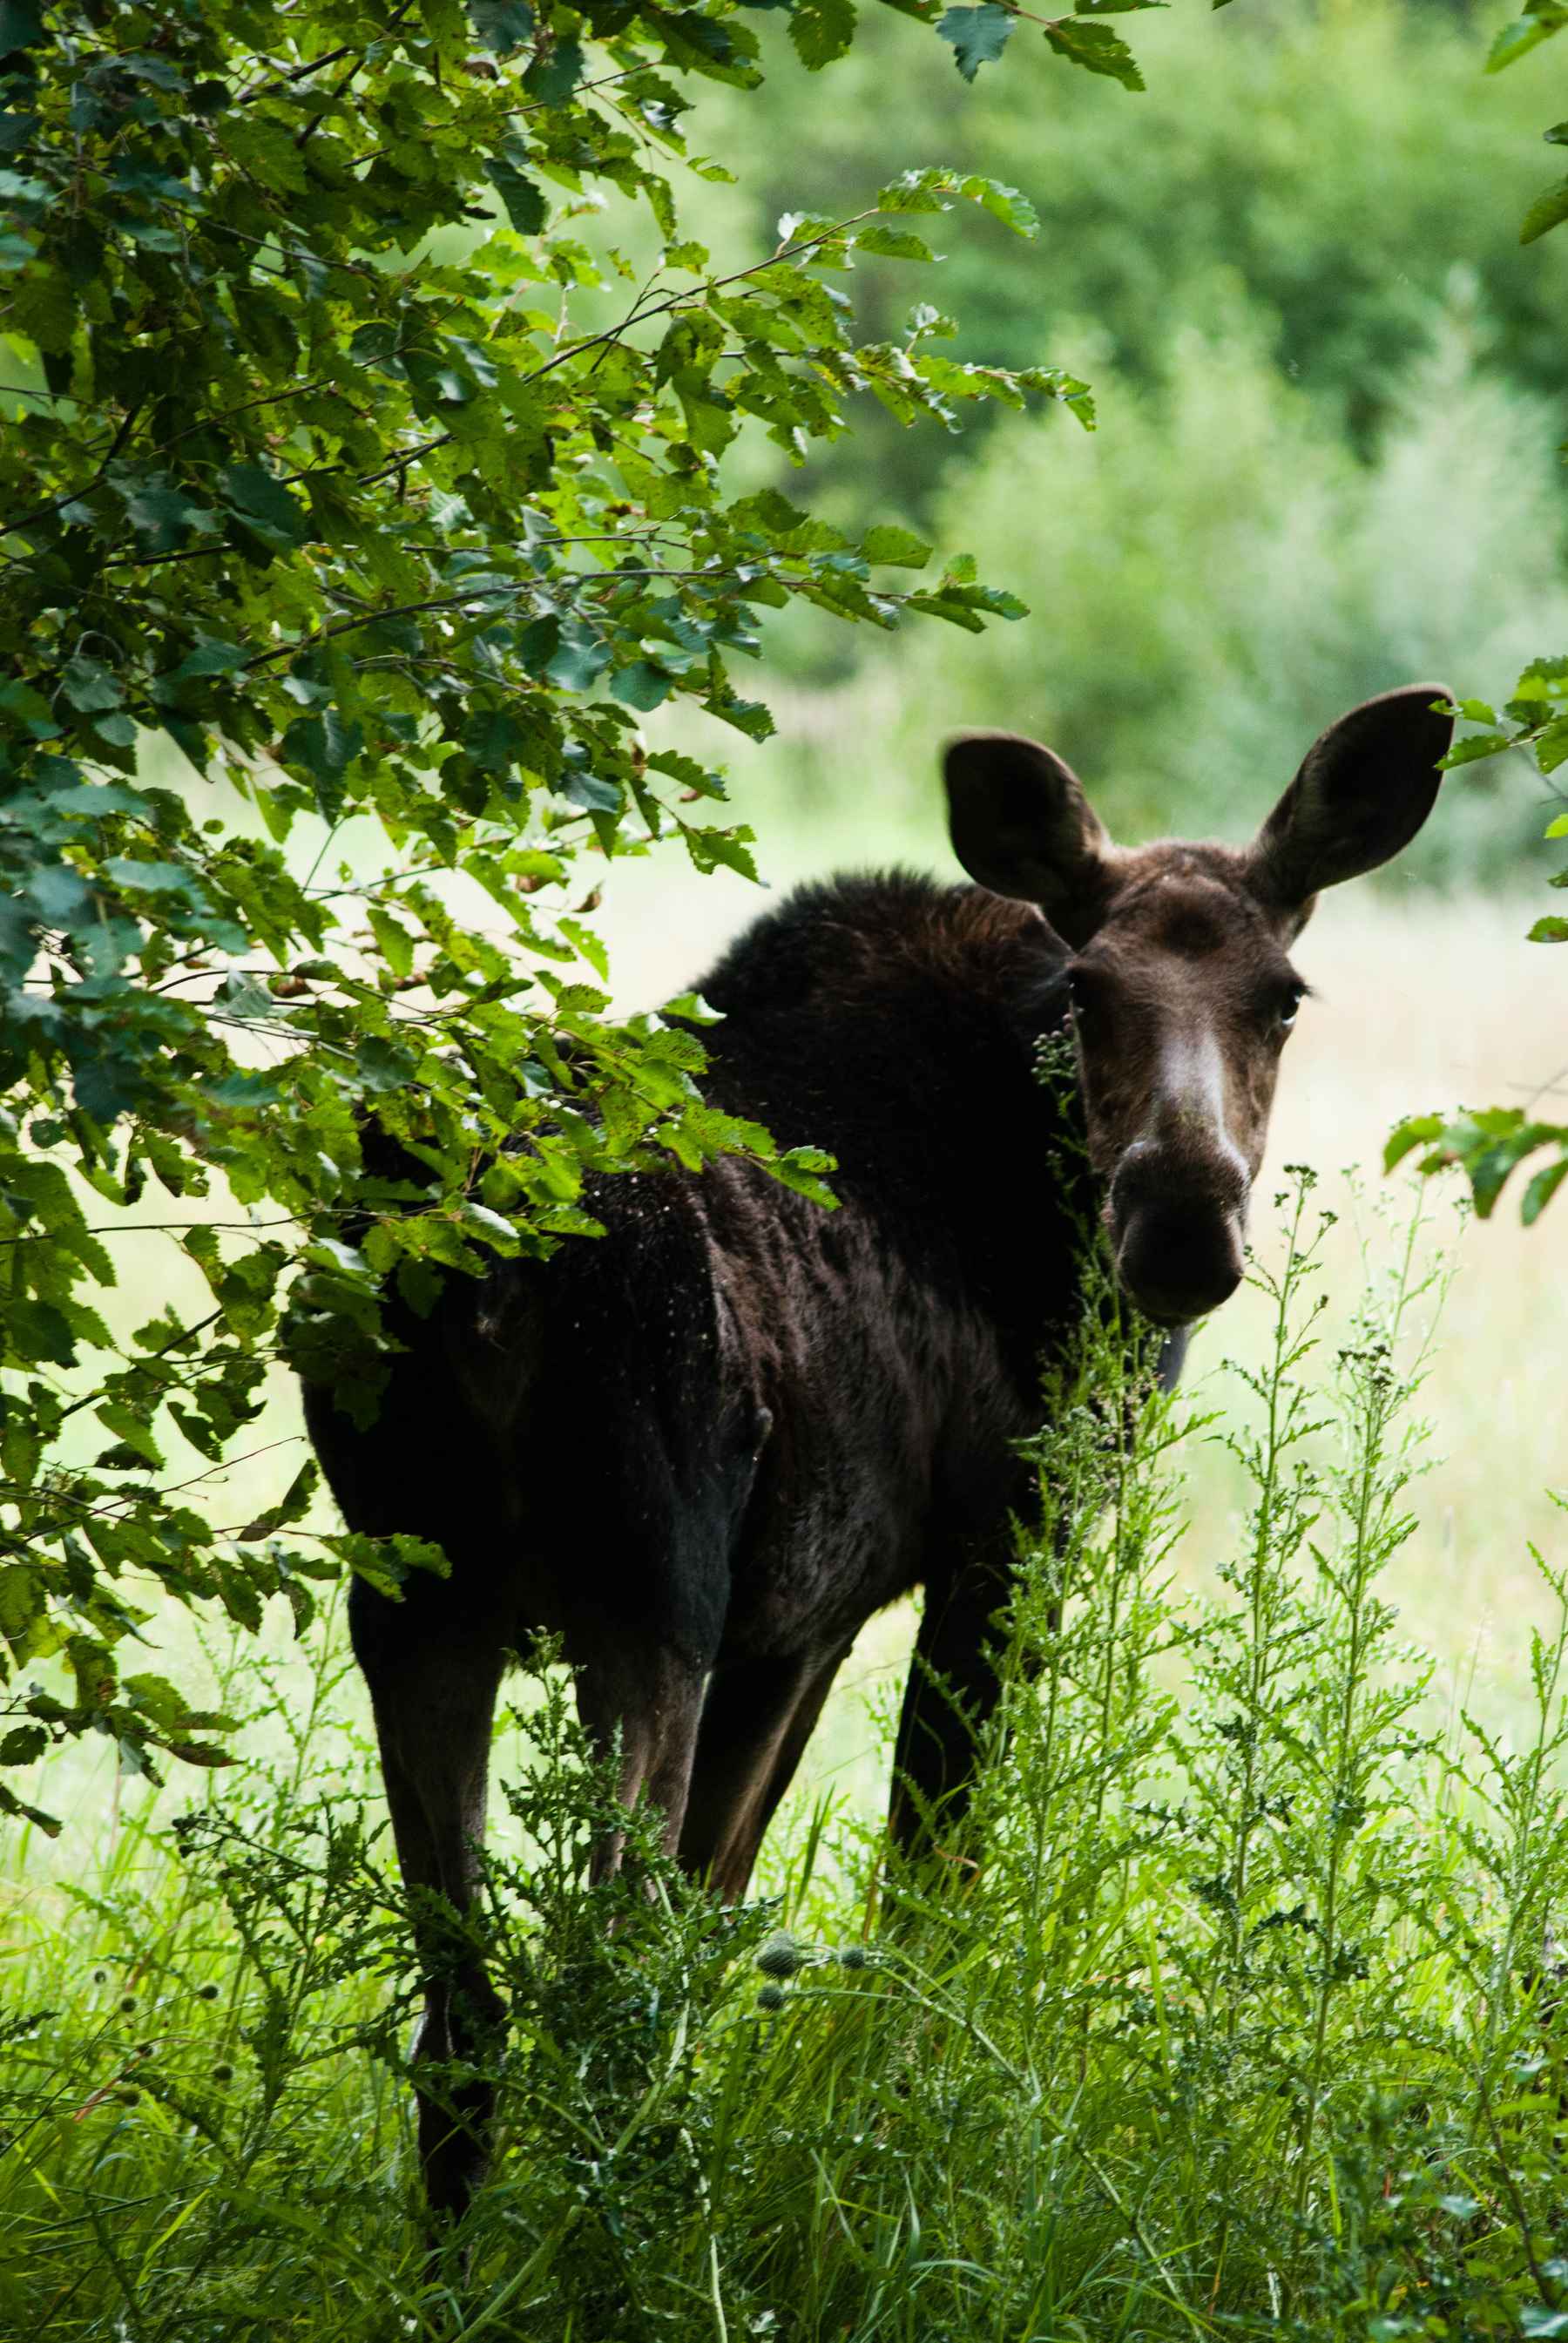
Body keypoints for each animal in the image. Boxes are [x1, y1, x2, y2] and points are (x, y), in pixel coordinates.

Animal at [301, 681, 1453, 2214]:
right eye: (1086, 992)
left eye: (1283, 996)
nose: (1180, 1228)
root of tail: (483, 1268)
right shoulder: (994, 1546)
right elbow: (919, 1895)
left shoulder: (805, 1614)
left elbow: (716, 1909)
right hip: (644, 1598)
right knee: (585, 1982)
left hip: (416, 1597)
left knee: (465, 2013)